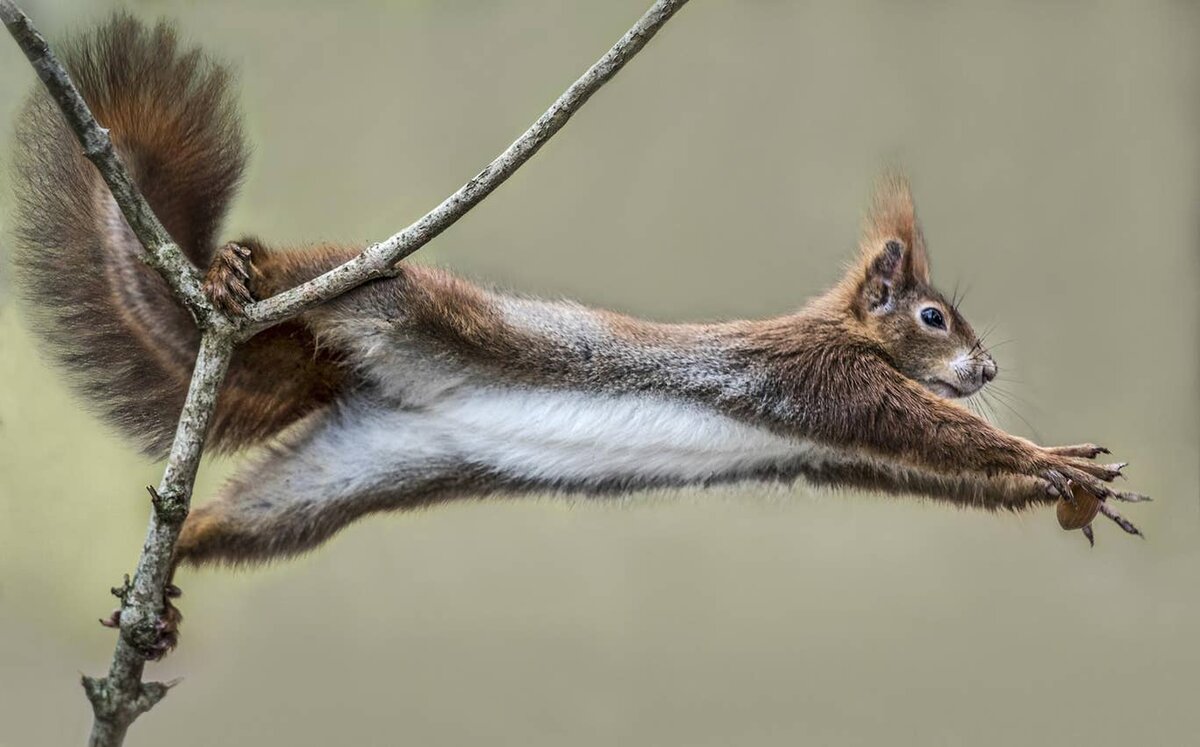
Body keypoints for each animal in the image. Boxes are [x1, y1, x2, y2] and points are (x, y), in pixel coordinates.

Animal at [9, 19, 1147, 602]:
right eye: (933, 320)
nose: (989, 372)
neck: (832, 327)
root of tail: (349, 377)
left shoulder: (837, 444)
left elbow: (931, 470)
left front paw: (1065, 485)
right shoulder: (827, 379)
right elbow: (924, 429)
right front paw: (1050, 459)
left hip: (339, 481)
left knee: (242, 517)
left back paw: (172, 568)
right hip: (385, 300)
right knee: (329, 271)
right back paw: (243, 275)